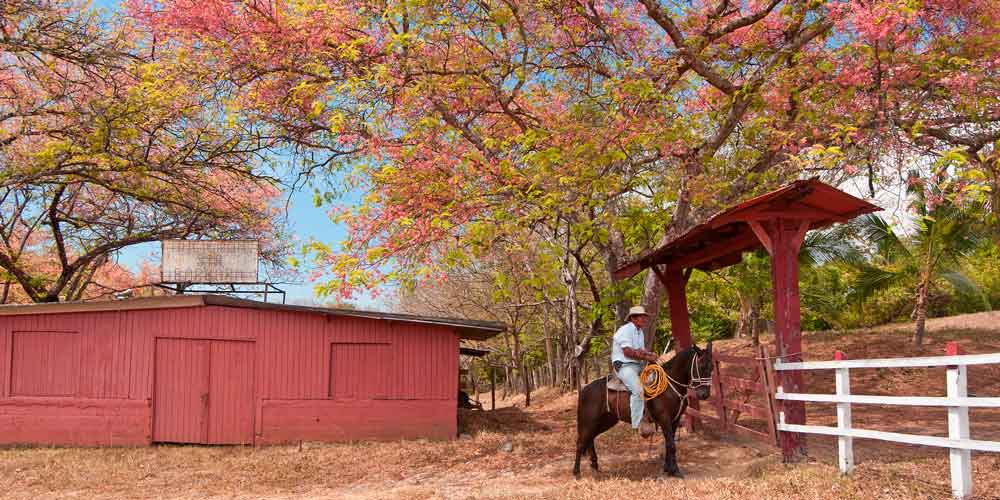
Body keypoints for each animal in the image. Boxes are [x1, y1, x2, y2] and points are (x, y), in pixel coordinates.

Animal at [572, 342, 712, 478]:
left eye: (711, 368)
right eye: (701, 366)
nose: (704, 394)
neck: (669, 386)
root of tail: (584, 389)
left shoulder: (675, 420)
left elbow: (669, 443)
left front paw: (668, 469)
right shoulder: (664, 419)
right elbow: (671, 445)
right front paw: (675, 470)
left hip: (605, 421)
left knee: (590, 440)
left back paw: (594, 467)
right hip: (589, 421)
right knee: (581, 442)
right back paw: (576, 472)